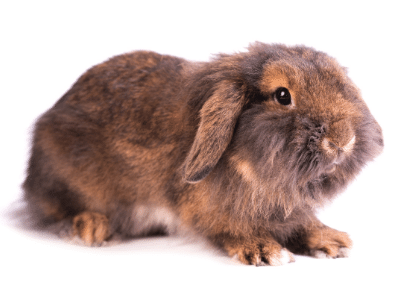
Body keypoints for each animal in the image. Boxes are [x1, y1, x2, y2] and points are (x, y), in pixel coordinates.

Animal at [22, 42, 384, 264]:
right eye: (283, 95)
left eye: (339, 86)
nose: (342, 140)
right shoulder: (213, 209)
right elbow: (232, 228)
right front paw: (264, 251)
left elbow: (304, 223)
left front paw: (332, 241)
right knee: (53, 211)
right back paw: (92, 228)